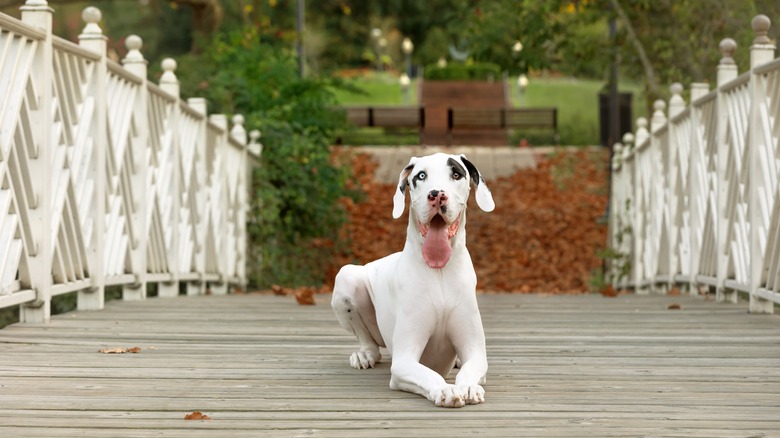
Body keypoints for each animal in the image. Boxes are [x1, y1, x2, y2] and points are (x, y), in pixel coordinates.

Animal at [330, 153, 494, 408]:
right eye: (421, 175)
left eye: (456, 174)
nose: (437, 194)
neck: (439, 273)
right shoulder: (404, 361)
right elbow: (429, 375)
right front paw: (445, 389)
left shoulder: (476, 351)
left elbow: (471, 369)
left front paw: (467, 386)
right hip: (347, 276)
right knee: (367, 340)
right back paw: (365, 354)